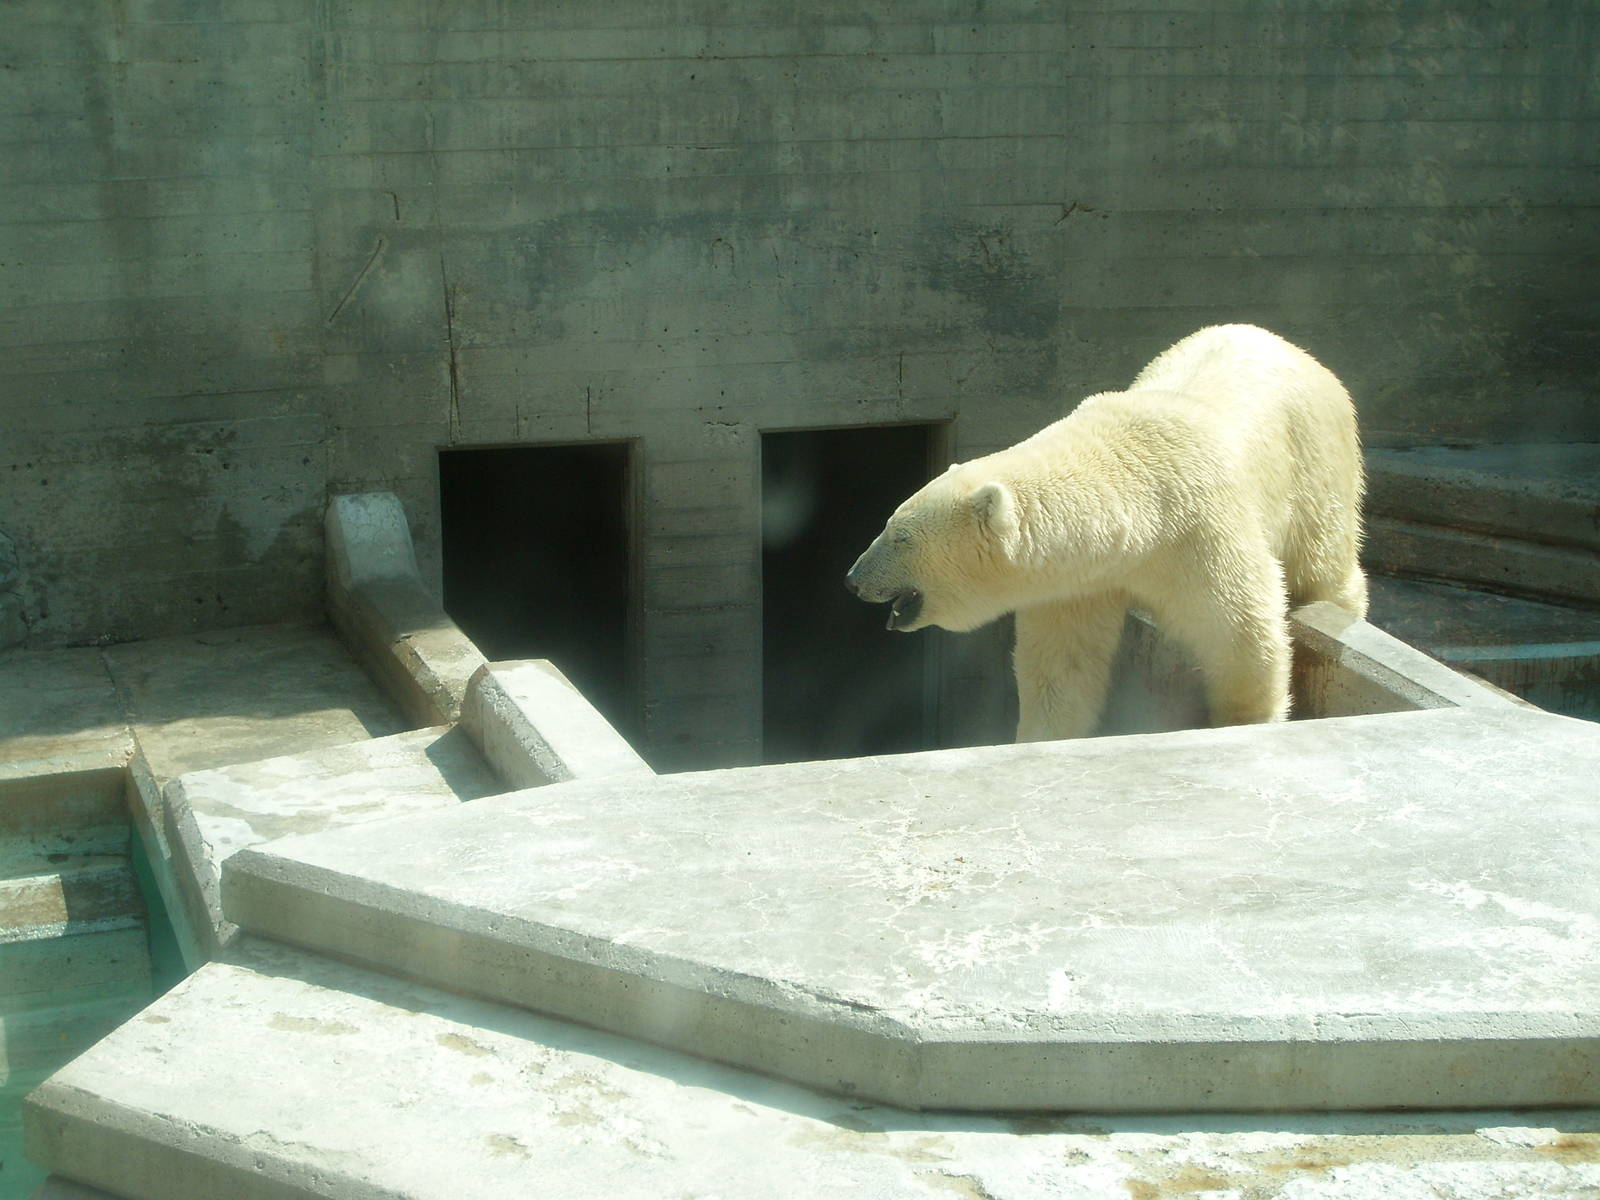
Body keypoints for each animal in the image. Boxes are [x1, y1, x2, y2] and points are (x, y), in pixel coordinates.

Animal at [844, 324, 1367, 742]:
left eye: (901, 537)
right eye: (888, 524)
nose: (852, 579)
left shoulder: (1203, 533)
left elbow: (1240, 630)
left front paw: (1244, 722)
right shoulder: (1077, 580)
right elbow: (1062, 665)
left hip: (1315, 463)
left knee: (1323, 563)